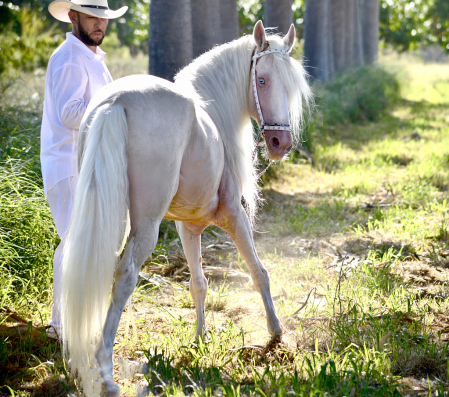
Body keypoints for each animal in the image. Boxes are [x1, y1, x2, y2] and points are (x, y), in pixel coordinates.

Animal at [60, 20, 312, 392]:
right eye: (263, 80)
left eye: (291, 86)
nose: (281, 143)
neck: (212, 115)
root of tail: (116, 101)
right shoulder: (233, 216)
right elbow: (259, 272)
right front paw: (276, 334)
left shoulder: (188, 227)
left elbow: (199, 282)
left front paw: (200, 339)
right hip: (145, 226)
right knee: (125, 274)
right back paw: (105, 372)